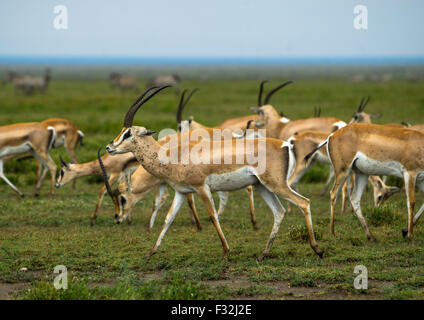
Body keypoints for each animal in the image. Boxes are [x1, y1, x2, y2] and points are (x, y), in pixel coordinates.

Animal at [107, 85, 322, 260]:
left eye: (128, 133)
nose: (109, 147)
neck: (173, 155)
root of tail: (286, 144)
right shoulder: (181, 192)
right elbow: (168, 218)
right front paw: (150, 252)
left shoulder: (202, 188)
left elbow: (213, 216)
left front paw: (226, 251)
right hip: (262, 186)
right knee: (279, 211)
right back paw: (263, 254)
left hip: (276, 184)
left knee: (304, 202)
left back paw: (317, 249)